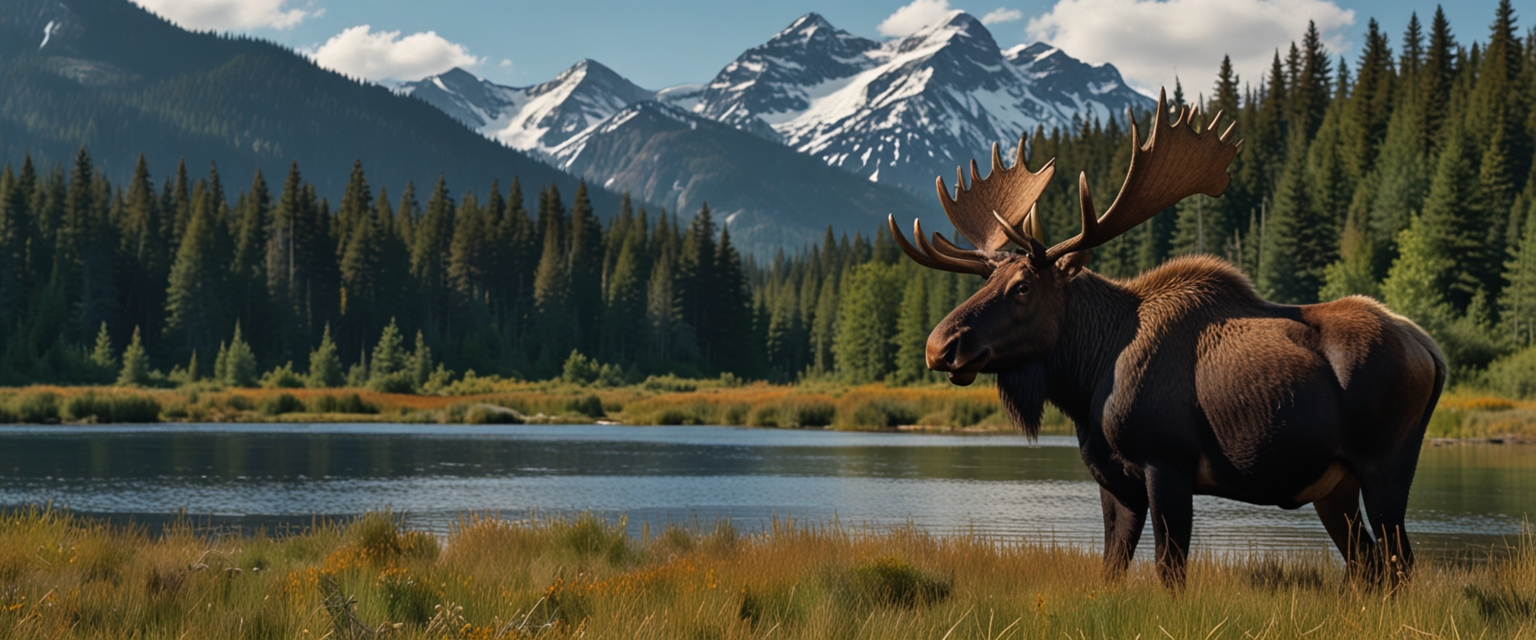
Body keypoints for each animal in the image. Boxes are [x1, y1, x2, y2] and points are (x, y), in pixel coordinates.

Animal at [889, 89, 1445, 589]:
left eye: (1023, 287)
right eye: (986, 282)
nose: (939, 347)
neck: (1088, 379)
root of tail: (1432, 353)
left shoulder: (1168, 463)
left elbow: (1168, 569)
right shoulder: (1115, 480)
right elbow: (1111, 568)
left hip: (1385, 467)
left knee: (1400, 562)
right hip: (1333, 487)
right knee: (1368, 565)